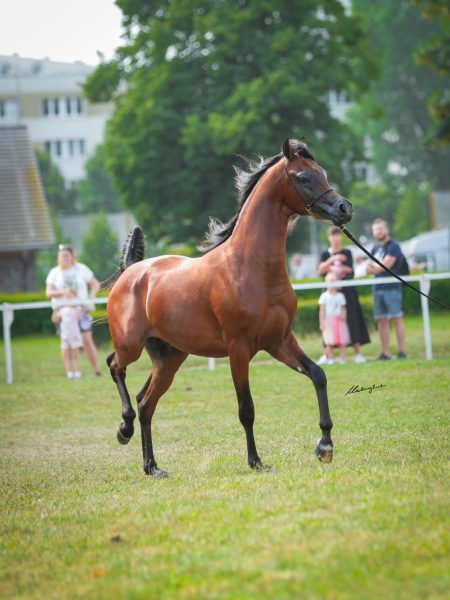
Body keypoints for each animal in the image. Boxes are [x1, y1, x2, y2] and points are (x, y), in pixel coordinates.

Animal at [105, 138, 352, 476]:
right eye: (303, 177)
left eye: (322, 172)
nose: (344, 208)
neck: (251, 267)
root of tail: (131, 272)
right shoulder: (239, 348)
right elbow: (246, 409)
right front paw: (256, 461)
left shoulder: (280, 342)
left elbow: (319, 375)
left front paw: (324, 447)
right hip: (130, 345)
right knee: (115, 367)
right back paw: (124, 428)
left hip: (170, 358)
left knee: (146, 403)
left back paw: (152, 466)